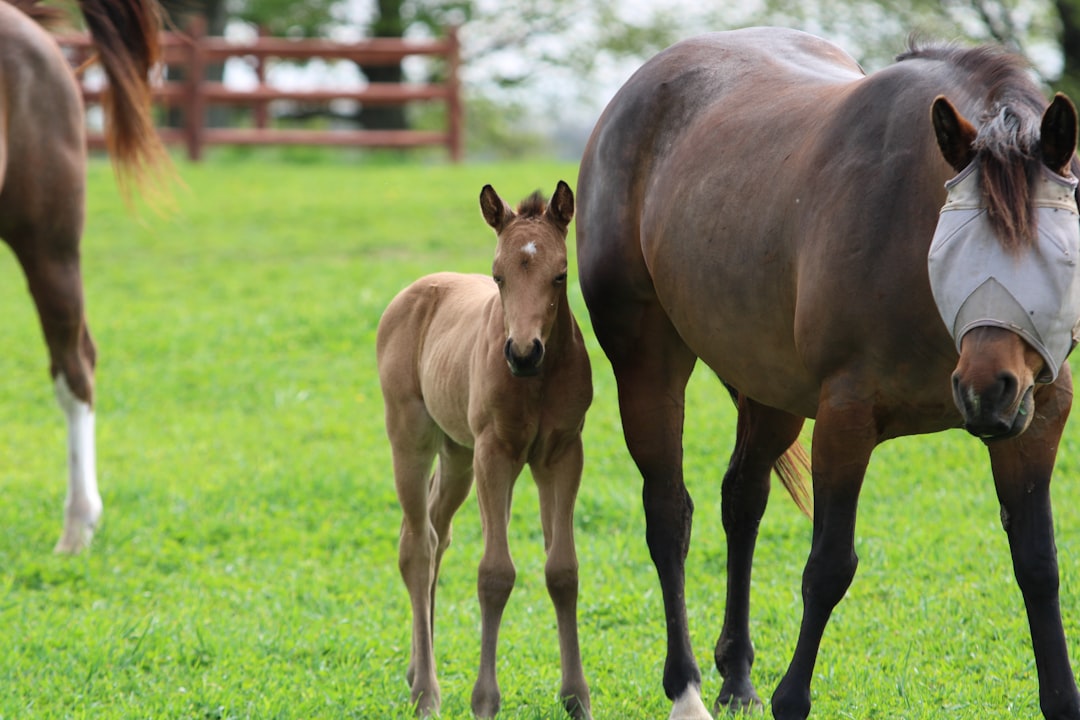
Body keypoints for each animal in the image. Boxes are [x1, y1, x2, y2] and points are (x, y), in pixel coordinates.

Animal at [380, 181, 596, 720]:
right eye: (498, 276)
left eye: (561, 275)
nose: (523, 352)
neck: (536, 382)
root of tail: (413, 292)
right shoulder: (494, 454)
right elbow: (495, 573)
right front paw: (485, 699)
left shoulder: (562, 453)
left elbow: (562, 569)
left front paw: (575, 696)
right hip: (412, 439)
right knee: (418, 546)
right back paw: (426, 692)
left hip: (457, 454)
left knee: (435, 533)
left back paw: (417, 669)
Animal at [578, 28, 1080, 720]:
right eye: (956, 244)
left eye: (1057, 252)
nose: (986, 390)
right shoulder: (846, 417)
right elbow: (829, 566)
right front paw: (792, 696)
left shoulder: (1037, 419)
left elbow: (1038, 564)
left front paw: (1061, 697)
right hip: (648, 365)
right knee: (668, 517)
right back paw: (686, 688)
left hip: (772, 390)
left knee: (742, 500)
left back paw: (737, 678)